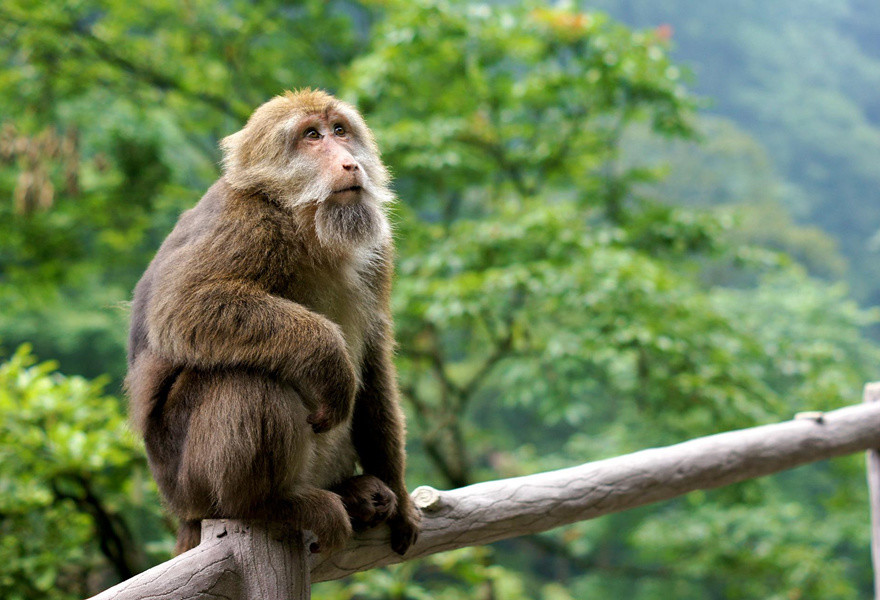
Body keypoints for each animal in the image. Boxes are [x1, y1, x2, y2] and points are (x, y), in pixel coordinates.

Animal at [124, 90, 422, 556]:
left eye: (340, 130)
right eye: (311, 136)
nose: (349, 163)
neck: (306, 225)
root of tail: (182, 512)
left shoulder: (379, 252)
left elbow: (375, 362)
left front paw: (403, 499)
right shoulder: (247, 224)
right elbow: (183, 308)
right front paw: (329, 358)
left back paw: (354, 493)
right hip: (192, 482)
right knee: (249, 379)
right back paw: (268, 505)